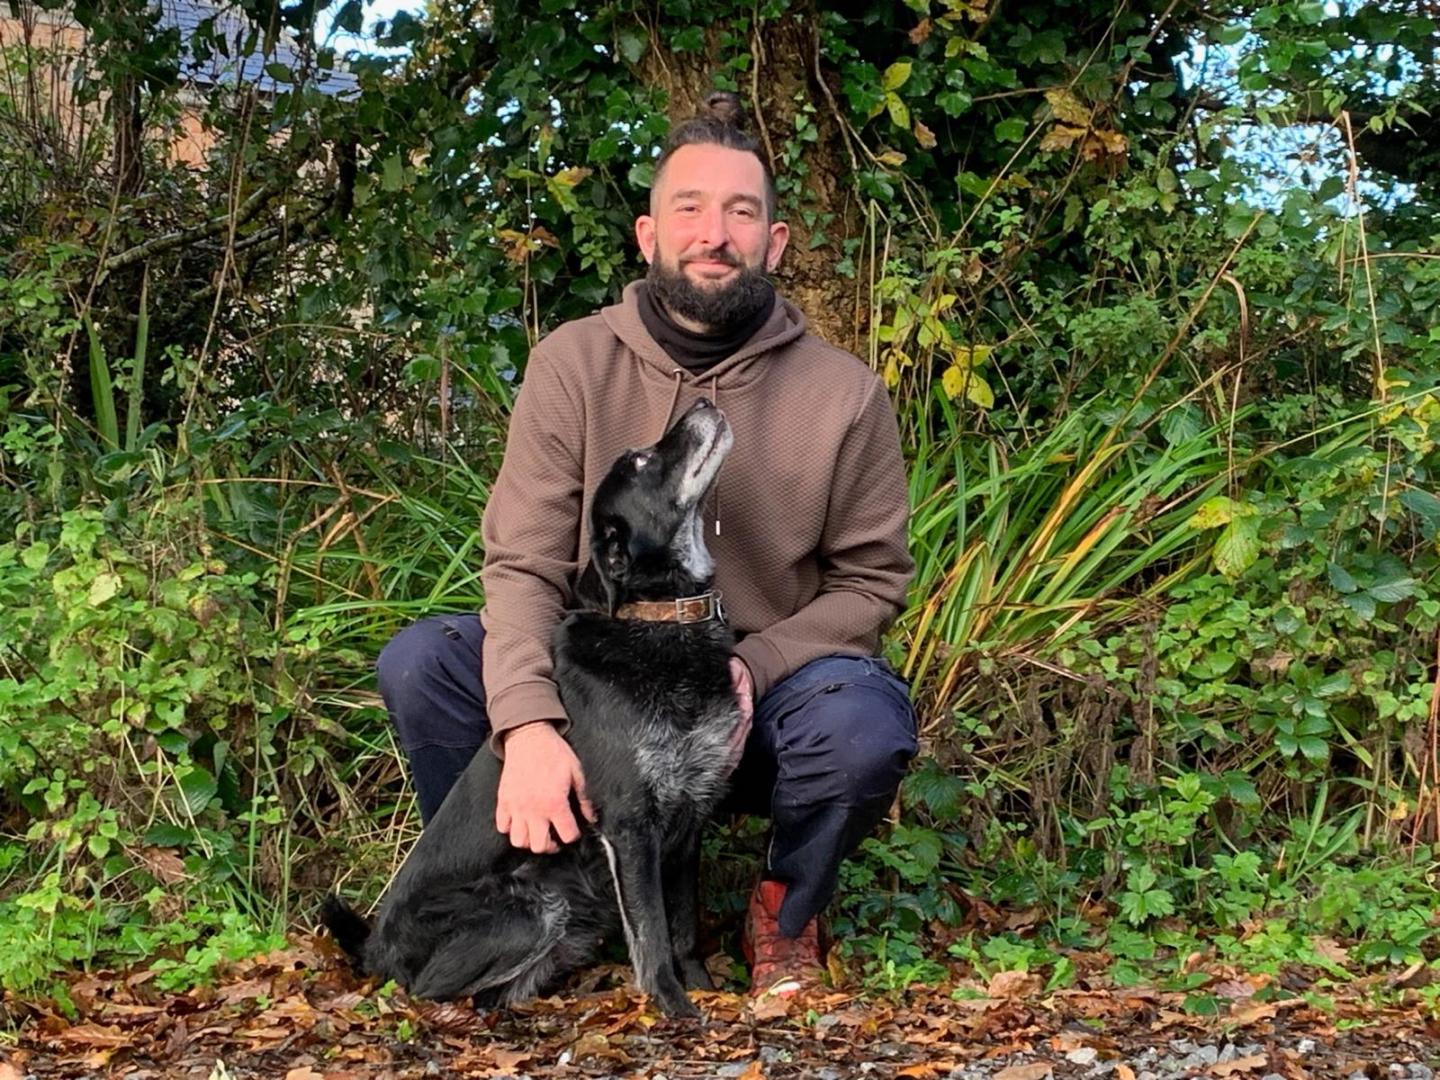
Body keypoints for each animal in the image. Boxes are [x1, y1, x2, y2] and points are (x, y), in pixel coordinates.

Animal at [324, 398, 740, 1019]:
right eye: (642, 461)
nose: (704, 403)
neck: (660, 624)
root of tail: (377, 948)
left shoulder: (690, 816)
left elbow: (685, 928)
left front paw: (707, 990)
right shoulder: (630, 824)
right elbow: (654, 935)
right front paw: (674, 1004)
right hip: (534, 905)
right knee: (433, 991)